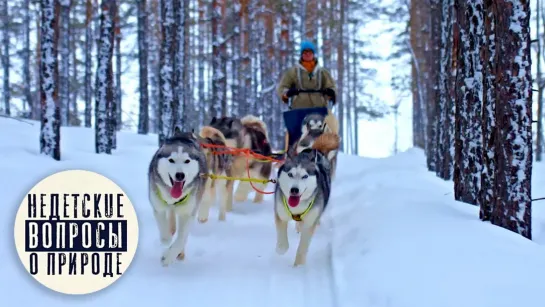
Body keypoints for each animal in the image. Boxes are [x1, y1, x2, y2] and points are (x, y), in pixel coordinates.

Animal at [148, 127, 207, 268]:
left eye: (187, 161)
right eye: (171, 160)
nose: (180, 175)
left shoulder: (188, 213)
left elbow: (181, 239)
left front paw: (169, 256)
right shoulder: (158, 207)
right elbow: (165, 236)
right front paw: (167, 241)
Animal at [274, 135, 338, 268]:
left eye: (305, 176)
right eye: (290, 174)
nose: (294, 190)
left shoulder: (310, 223)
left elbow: (303, 246)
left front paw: (298, 266)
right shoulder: (280, 212)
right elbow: (282, 236)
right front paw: (281, 248)